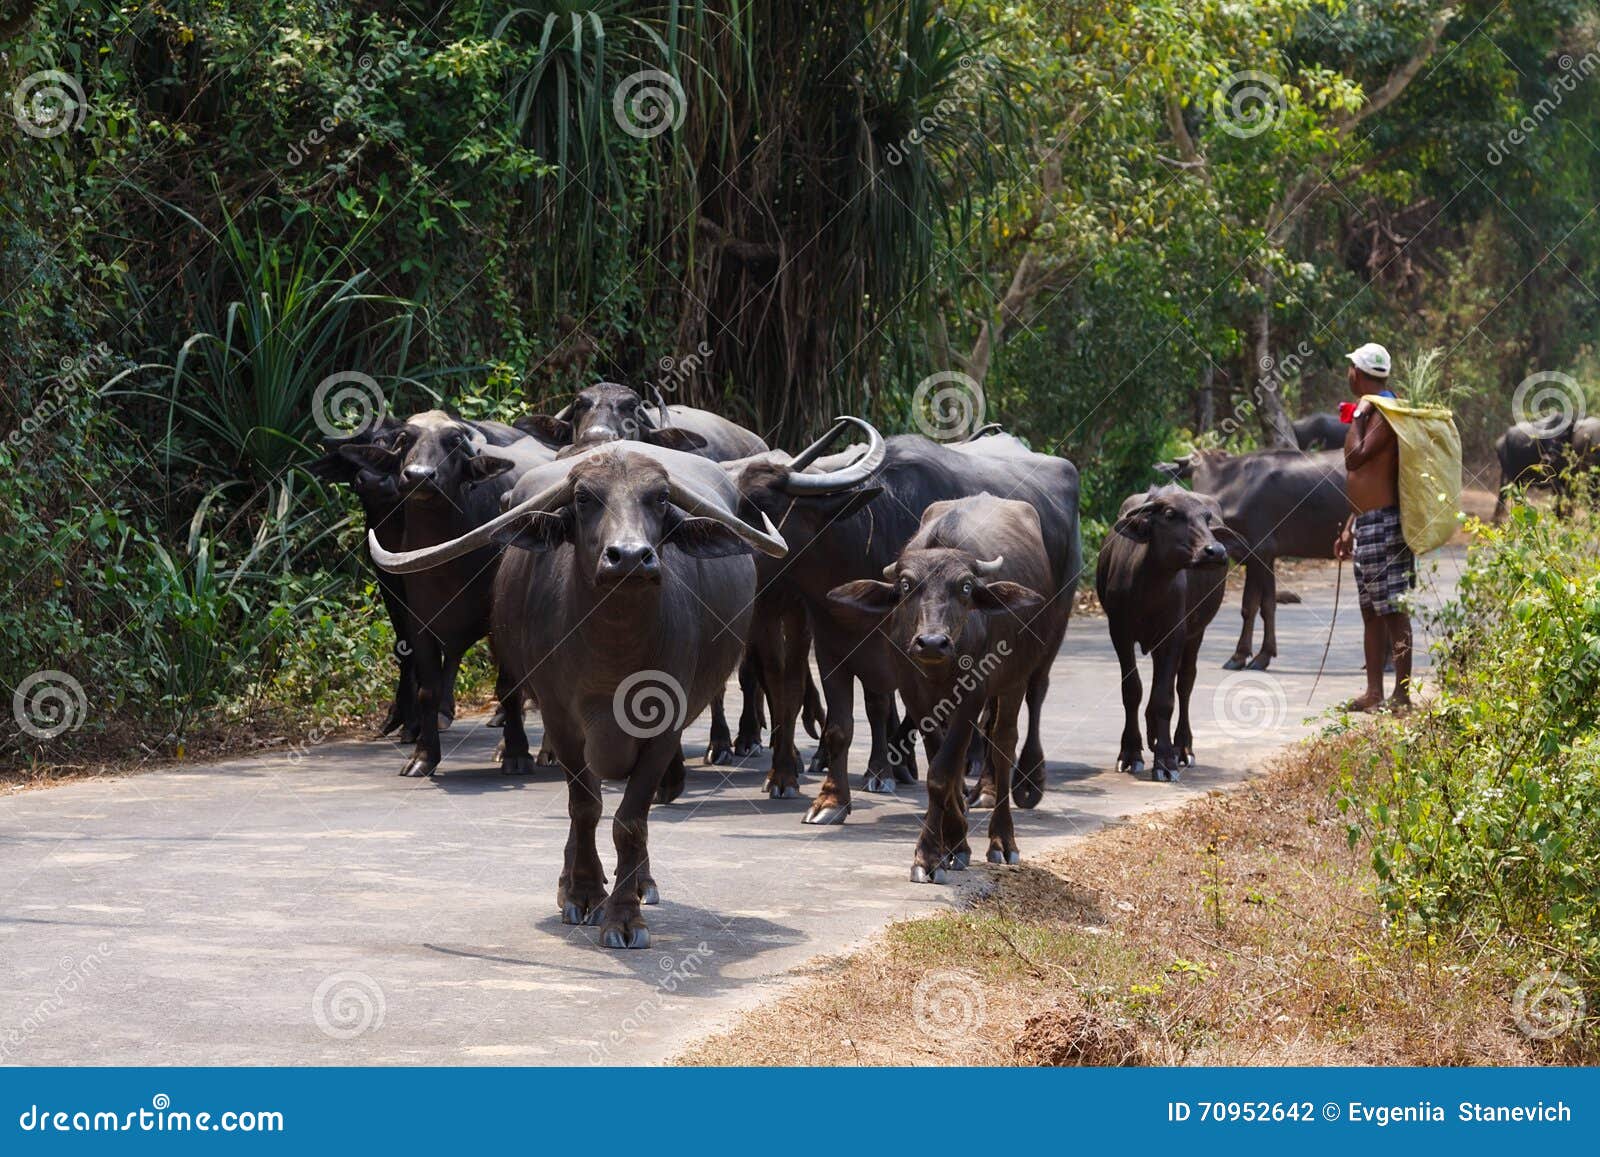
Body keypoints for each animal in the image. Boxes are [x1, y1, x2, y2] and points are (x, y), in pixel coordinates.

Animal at [371, 442, 788, 949]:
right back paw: (568, 881)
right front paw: (584, 894)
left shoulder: (666, 727)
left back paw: (642, 882)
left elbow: (631, 819)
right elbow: (585, 807)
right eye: (585, 498)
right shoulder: (560, 720)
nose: (629, 557)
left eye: (660, 498)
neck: (616, 651)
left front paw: (625, 916)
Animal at [828, 494, 1065, 881]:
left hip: (1015, 680)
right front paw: (952, 844)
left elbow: (943, 771)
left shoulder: (974, 693)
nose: (932, 642)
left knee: (1003, 745)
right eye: (906, 585)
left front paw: (929, 855)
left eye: (966, 587)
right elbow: (942, 764)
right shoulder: (914, 694)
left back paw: (1003, 842)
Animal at [1096, 486, 1231, 781]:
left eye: (1206, 517)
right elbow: (1132, 690)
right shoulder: (1119, 632)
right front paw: (1130, 753)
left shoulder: (1174, 634)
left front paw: (1166, 760)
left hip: (1196, 634)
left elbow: (1165, 698)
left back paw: (1182, 747)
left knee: (1185, 683)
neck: (1149, 587)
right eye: (1170, 514)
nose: (1215, 551)